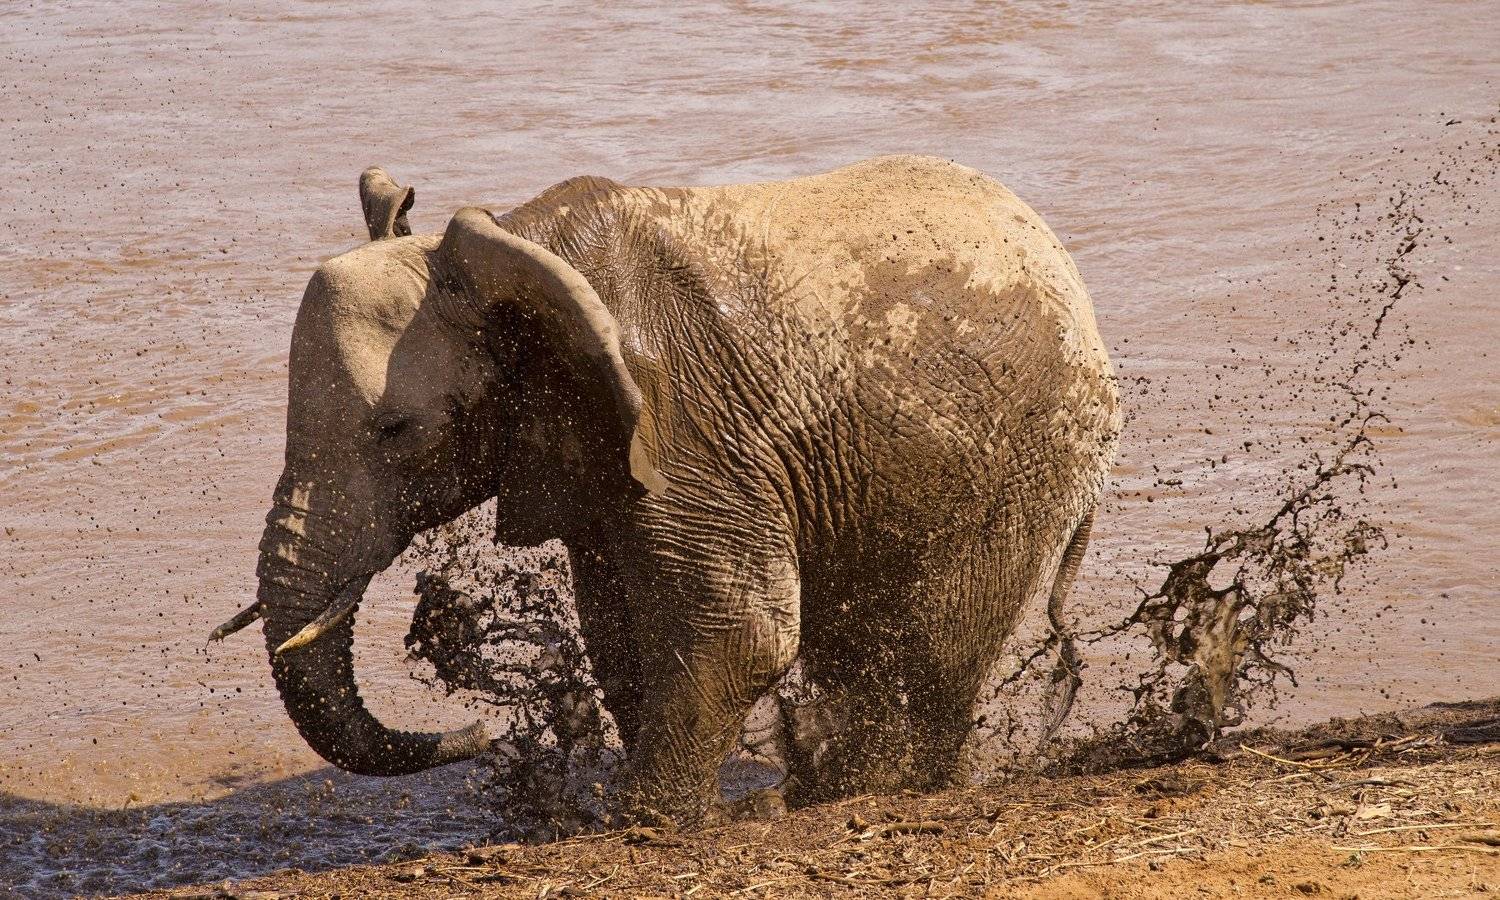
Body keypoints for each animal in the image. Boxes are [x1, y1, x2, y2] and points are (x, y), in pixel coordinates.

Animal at [216, 155, 1121, 825]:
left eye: (398, 430)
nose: (476, 730)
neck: (516, 247)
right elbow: (619, 629)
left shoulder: (690, 426)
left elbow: (740, 629)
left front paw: (646, 822)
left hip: (1023, 464)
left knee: (933, 641)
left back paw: (881, 790)